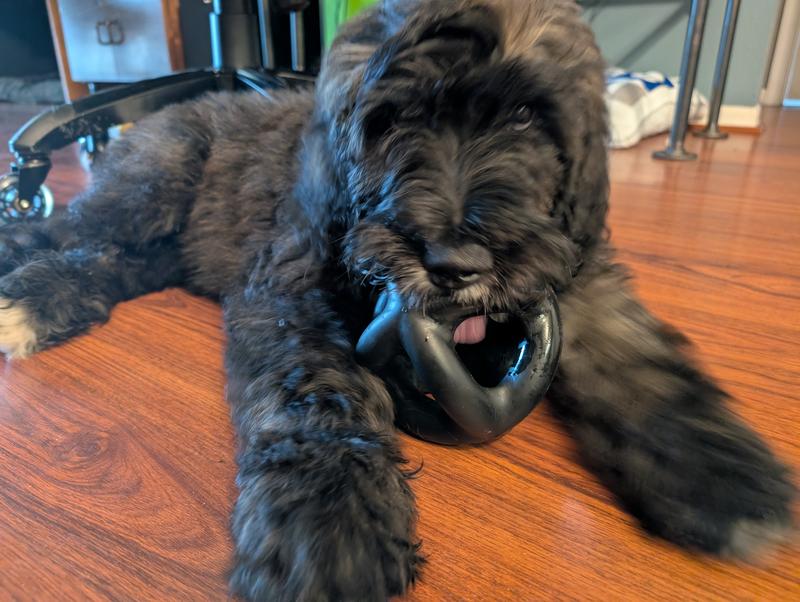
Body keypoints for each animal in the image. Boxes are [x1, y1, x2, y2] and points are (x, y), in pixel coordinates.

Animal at [0, 0, 794, 600]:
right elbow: (316, 399)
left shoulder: (573, 269)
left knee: (120, 262)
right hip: (155, 182)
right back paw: (24, 274)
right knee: (71, 228)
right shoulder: (289, 293)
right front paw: (330, 528)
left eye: (527, 119)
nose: (455, 266)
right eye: (394, 120)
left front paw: (725, 476)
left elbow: (637, 359)